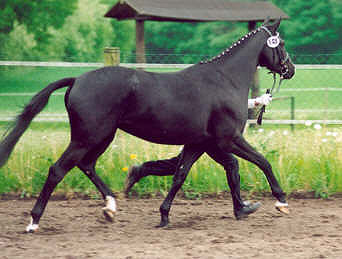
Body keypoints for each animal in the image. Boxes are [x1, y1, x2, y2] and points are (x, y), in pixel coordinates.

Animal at [0, 19, 294, 233]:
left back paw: (110, 207)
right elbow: (261, 161)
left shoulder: (200, 143)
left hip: (102, 137)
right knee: (58, 170)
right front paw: (279, 201)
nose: (289, 69)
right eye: (280, 44)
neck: (224, 80)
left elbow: (183, 174)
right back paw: (33, 221)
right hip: (87, 137)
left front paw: (166, 215)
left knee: (87, 165)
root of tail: (77, 80)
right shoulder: (228, 139)